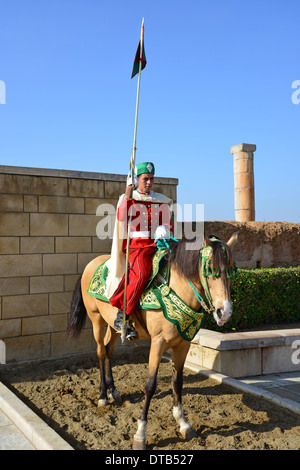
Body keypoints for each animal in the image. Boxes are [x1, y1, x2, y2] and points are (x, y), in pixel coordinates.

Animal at [68, 233, 239, 450]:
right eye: (210, 270)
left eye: (232, 272)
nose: (225, 312)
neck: (177, 288)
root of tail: (92, 263)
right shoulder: (158, 343)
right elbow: (150, 386)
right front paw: (140, 434)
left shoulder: (183, 344)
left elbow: (177, 383)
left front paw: (183, 424)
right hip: (96, 319)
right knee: (100, 352)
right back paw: (102, 397)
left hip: (113, 325)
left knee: (108, 351)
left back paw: (113, 391)